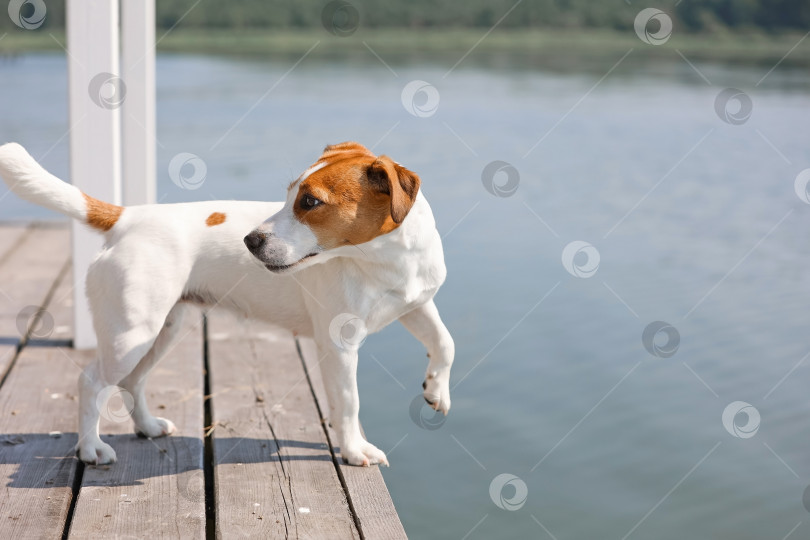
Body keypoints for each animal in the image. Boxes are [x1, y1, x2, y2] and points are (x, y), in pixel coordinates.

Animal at [0, 141, 454, 466]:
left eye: (310, 202)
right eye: (289, 196)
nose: (250, 241)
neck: (386, 259)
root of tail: (127, 216)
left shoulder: (417, 306)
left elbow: (445, 343)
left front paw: (436, 392)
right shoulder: (338, 346)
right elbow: (348, 403)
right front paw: (356, 451)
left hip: (163, 330)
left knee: (132, 382)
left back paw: (147, 426)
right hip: (130, 335)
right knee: (91, 382)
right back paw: (91, 448)